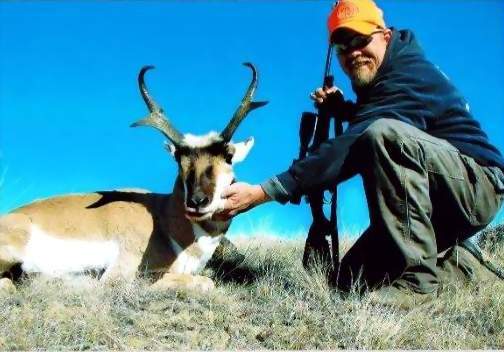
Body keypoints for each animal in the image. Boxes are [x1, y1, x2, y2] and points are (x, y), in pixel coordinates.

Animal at [0, 62, 268, 292]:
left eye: (229, 156)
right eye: (178, 160)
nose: (197, 201)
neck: (164, 219)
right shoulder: (128, 275)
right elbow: (204, 282)